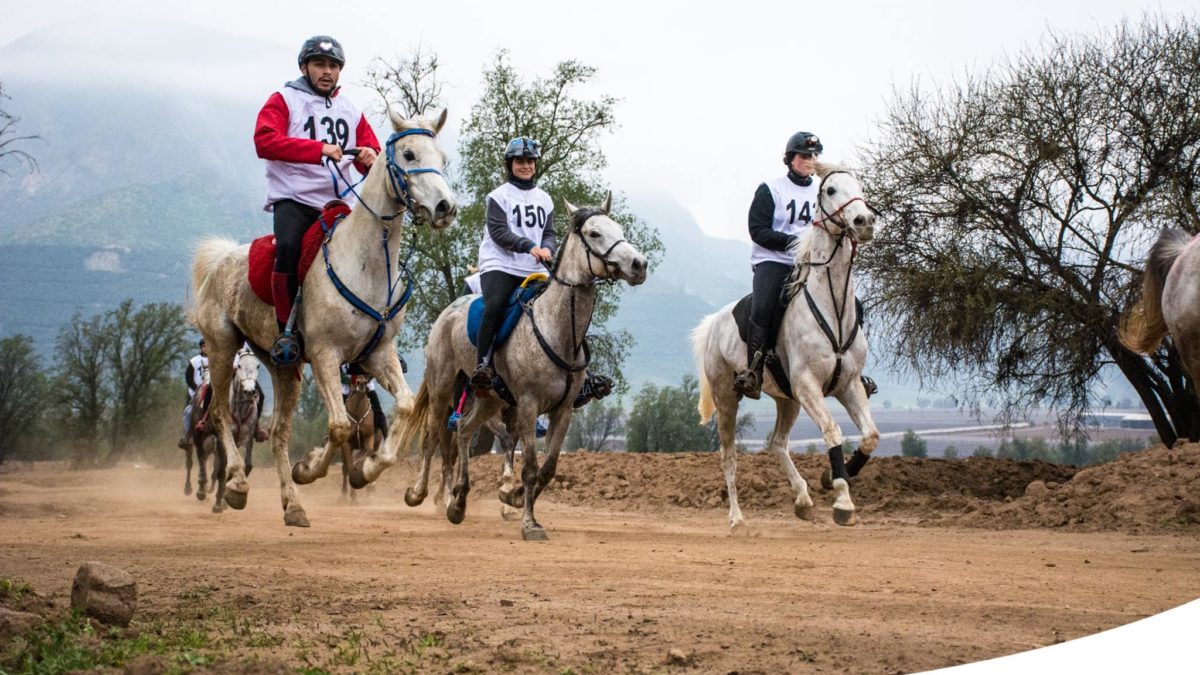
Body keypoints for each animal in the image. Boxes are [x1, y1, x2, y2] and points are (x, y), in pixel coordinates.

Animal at [192, 109, 453, 526]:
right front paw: (311, 468)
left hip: (283, 367)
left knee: (278, 432)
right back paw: (236, 485)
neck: (365, 261)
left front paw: (365, 470)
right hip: (221, 346)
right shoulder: (326, 355)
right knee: (219, 414)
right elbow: (340, 426)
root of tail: (222, 259)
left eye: (442, 157)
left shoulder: (378, 352)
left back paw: (293, 505)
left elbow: (404, 407)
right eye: (409, 154)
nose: (446, 207)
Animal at [398, 193, 648, 535]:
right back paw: (418, 493)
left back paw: (458, 503)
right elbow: (530, 466)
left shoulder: (563, 410)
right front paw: (530, 523)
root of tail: (449, 310)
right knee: (433, 434)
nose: (639, 264)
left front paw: (513, 498)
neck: (557, 329)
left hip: (490, 398)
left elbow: (548, 467)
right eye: (594, 233)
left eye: (619, 228)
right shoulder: (528, 406)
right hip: (442, 386)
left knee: (463, 429)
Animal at [696, 162, 883, 526]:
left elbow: (870, 436)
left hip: (787, 400)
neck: (832, 306)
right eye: (831, 190)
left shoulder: (849, 385)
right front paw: (842, 500)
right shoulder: (808, 385)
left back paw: (803, 499)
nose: (864, 221)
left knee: (777, 443)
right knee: (729, 457)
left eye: (860, 188)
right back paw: (737, 519)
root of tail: (713, 323)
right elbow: (832, 431)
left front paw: (832, 477)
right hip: (728, 397)